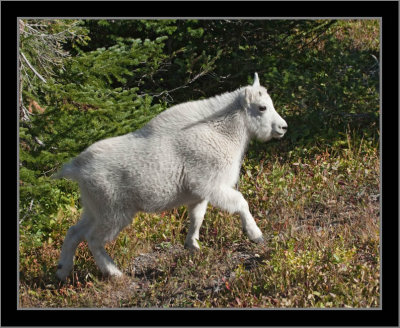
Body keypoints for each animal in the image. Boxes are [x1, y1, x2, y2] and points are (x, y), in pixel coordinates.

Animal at [55, 73, 288, 280]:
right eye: (262, 107)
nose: (283, 127)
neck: (221, 132)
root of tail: (77, 169)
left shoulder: (198, 193)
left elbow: (197, 217)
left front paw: (193, 245)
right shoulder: (211, 184)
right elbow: (241, 202)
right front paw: (256, 234)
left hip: (94, 207)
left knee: (74, 232)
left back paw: (62, 271)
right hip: (113, 210)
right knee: (93, 238)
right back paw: (114, 273)